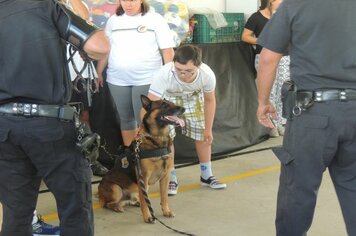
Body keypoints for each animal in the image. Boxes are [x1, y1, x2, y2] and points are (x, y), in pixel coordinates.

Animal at [98, 94, 185, 223]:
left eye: (172, 103)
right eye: (164, 105)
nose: (184, 109)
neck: (158, 138)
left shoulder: (165, 177)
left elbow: (164, 197)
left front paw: (166, 211)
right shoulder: (143, 177)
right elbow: (145, 202)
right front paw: (148, 216)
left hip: (135, 188)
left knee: (131, 199)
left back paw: (134, 202)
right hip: (116, 189)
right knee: (108, 203)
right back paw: (118, 206)